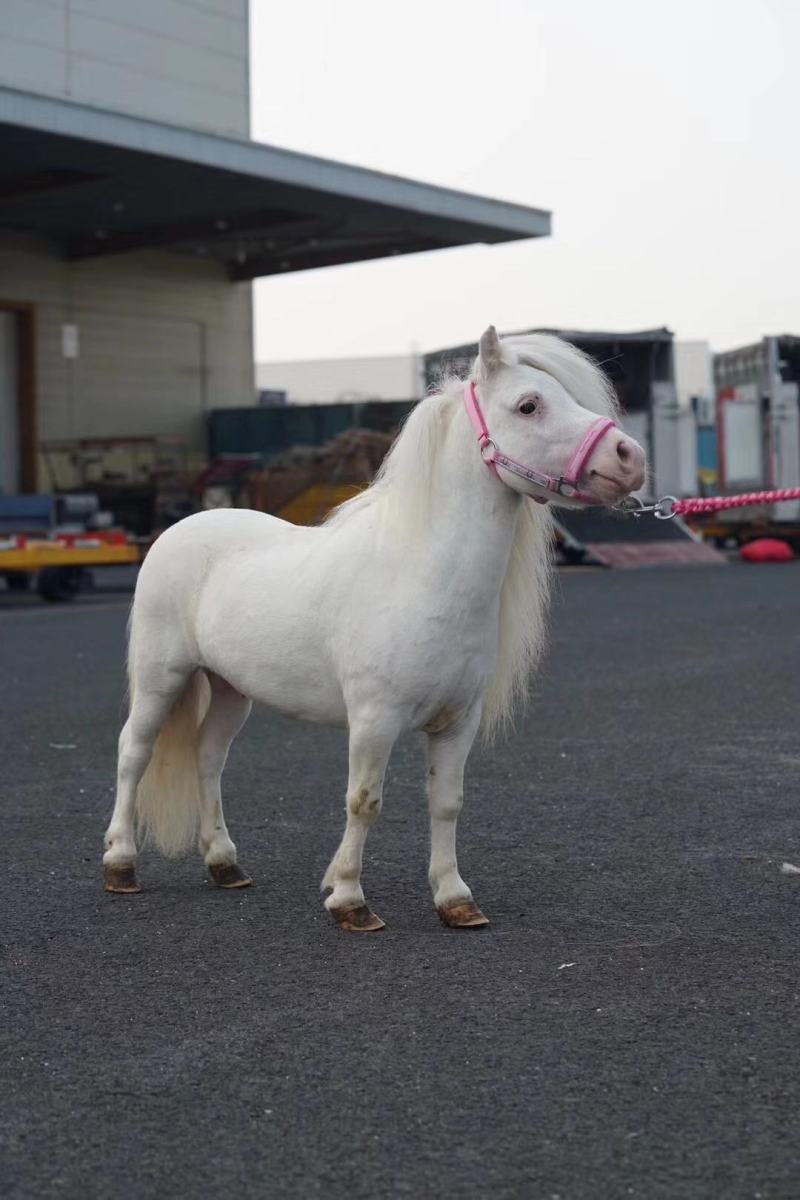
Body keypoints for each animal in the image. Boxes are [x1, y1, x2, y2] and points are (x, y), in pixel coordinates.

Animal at [102, 326, 646, 931]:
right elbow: (364, 801)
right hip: (162, 676)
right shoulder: (373, 720)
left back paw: (224, 864)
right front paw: (349, 900)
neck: (420, 576)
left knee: (208, 758)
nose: (629, 458)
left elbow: (447, 803)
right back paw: (121, 865)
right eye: (528, 405)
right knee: (133, 751)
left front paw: (455, 899)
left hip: (229, 689)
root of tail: (182, 526)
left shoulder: (457, 723)